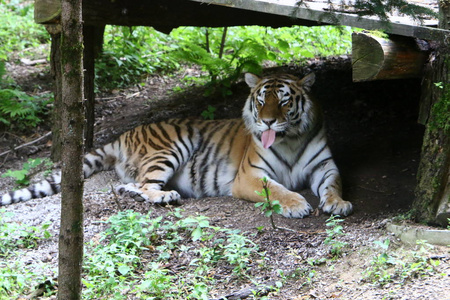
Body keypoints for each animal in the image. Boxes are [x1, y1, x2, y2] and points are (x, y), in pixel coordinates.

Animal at [1, 72, 354, 218]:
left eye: (283, 101)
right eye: (261, 100)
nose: (267, 122)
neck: (291, 139)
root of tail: (123, 134)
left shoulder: (325, 166)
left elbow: (333, 184)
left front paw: (338, 204)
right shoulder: (250, 176)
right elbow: (277, 190)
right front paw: (297, 205)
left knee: (130, 185)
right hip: (173, 145)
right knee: (145, 184)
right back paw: (165, 196)